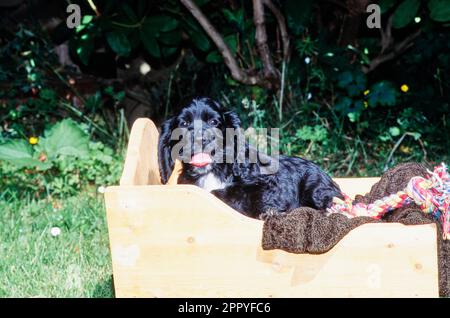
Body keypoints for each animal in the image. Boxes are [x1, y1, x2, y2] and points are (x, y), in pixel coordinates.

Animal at [158, 96, 342, 219]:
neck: (212, 171)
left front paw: (270, 213)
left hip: (314, 188)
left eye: (214, 122)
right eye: (183, 124)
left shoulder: (265, 183)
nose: (200, 139)